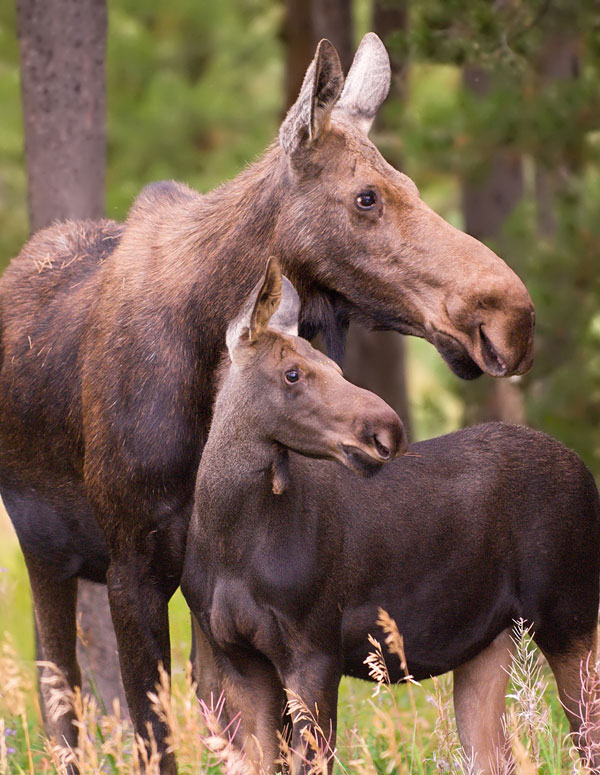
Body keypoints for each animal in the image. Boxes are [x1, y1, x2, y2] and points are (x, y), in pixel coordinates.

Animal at [0, 33, 536, 772]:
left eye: (409, 187)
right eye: (366, 197)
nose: (510, 316)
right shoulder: (134, 564)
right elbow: (152, 736)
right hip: (44, 550)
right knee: (61, 709)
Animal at [183, 260, 600, 775]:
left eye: (335, 366)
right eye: (292, 373)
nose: (387, 430)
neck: (229, 536)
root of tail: (587, 475)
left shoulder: (314, 649)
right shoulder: (236, 659)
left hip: (570, 614)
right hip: (493, 641)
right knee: (499, 754)